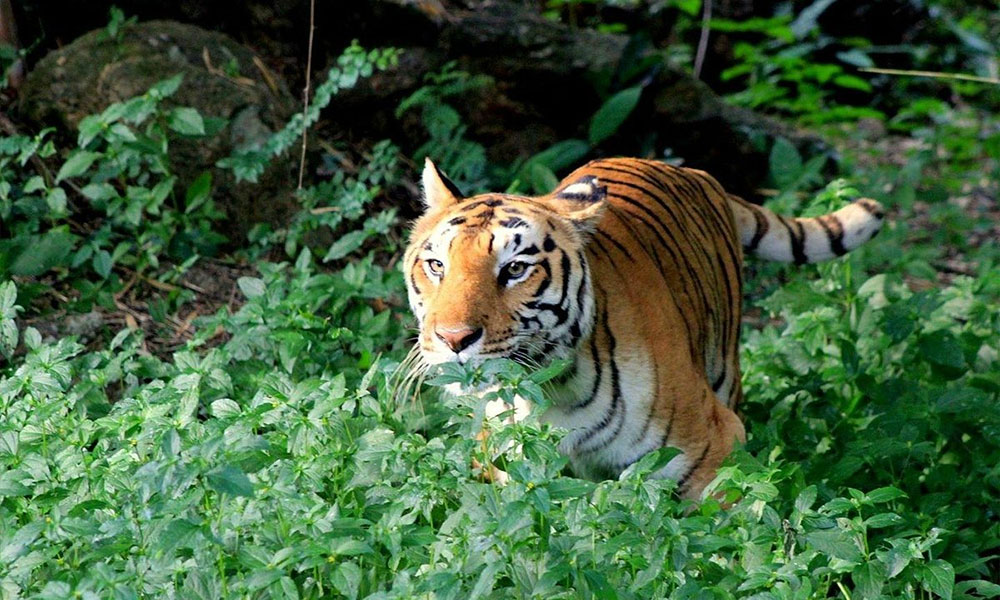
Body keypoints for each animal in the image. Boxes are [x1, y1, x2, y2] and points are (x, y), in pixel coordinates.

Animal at [400, 157, 884, 500]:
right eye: (437, 265)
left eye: (515, 269)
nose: (453, 338)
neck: (547, 393)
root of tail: (690, 170)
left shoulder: (714, 448)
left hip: (725, 370)